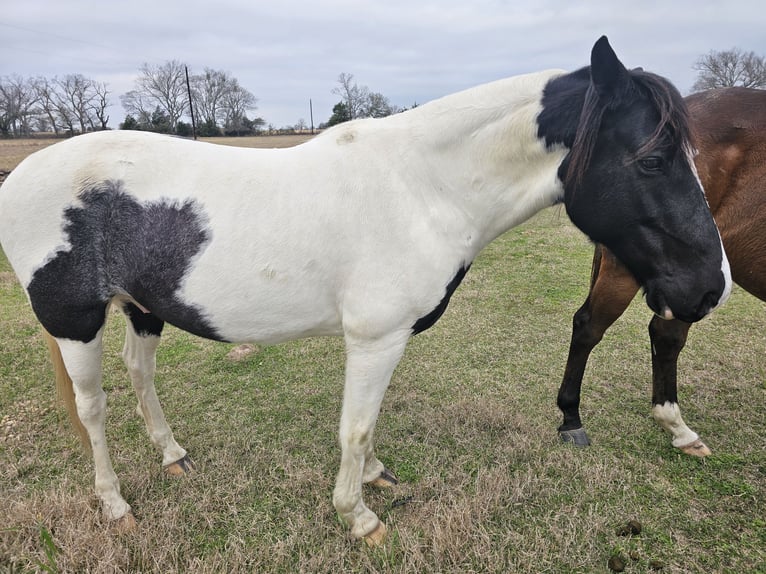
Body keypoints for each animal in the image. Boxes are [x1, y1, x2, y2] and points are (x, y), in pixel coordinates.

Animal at [0, 38, 732, 548]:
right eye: (653, 160)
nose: (710, 288)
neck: (421, 188)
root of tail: (23, 174)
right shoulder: (374, 338)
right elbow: (353, 427)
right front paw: (358, 517)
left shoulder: (388, 339)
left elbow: (369, 423)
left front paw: (376, 477)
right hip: (75, 322)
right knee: (93, 410)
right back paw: (115, 504)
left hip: (144, 309)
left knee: (140, 376)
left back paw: (173, 456)